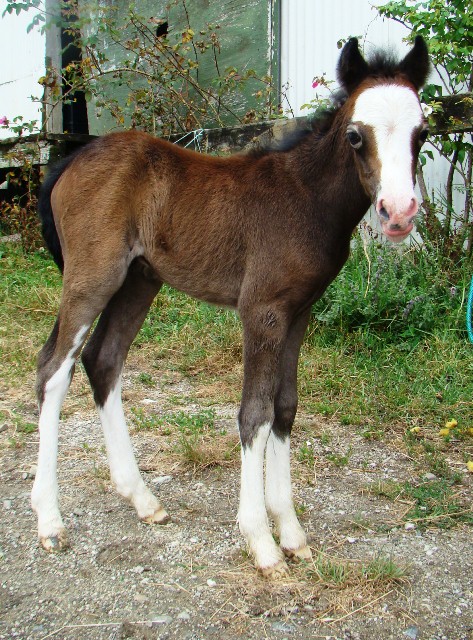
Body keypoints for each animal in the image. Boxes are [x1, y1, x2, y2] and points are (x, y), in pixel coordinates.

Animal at [32, 36, 430, 577]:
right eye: (354, 136)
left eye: (422, 132)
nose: (399, 213)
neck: (305, 197)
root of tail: (70, 161)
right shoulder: (261, 310)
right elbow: (254, 413)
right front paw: (261, 541)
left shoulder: (297, 314)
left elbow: (285, 406)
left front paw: (292, 532)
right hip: (93, 277)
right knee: (54, 370)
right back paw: (49, 519)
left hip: (138, 281)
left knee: (102, 360)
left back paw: (142, 498)